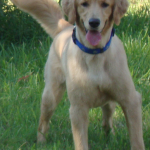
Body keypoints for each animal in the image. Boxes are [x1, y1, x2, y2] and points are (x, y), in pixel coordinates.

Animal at [11, 0, 145, 149]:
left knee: (107, 118)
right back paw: (41, 142)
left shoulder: (131, 100)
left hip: (110, 100)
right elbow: (81, 142)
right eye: (84, 4)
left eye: (105, 4)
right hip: (51, 95)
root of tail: (65, 27)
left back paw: (110, 137)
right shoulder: (78, 108)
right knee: (43, 122)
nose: (94, 22)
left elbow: (137, 140)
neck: (95, 54)